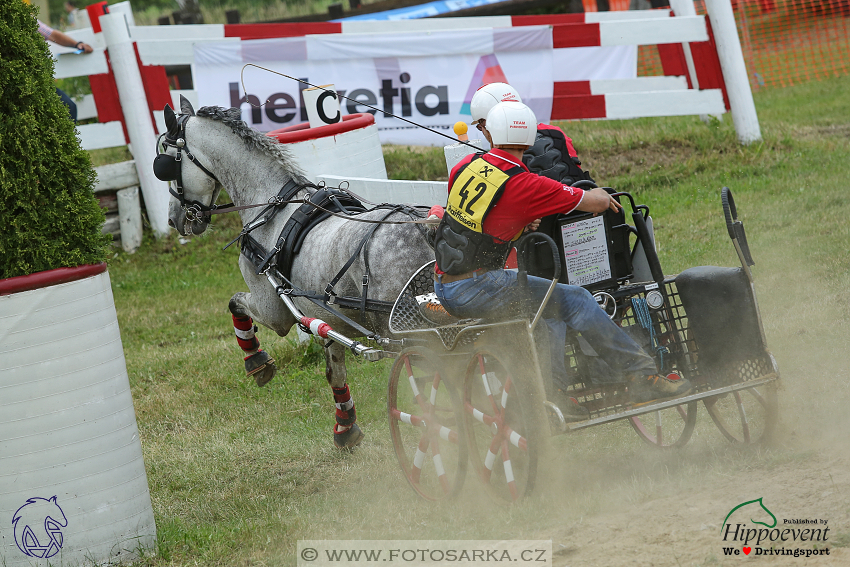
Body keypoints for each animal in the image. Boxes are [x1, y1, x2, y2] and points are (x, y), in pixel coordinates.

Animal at [159, 100, 434, 450]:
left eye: (165, 160)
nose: (174, 219)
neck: (272, 206)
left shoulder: (271, 308)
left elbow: (235, 302)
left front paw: (256, 360)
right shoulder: (324, 315)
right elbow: (335, 373)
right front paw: (346, 427)